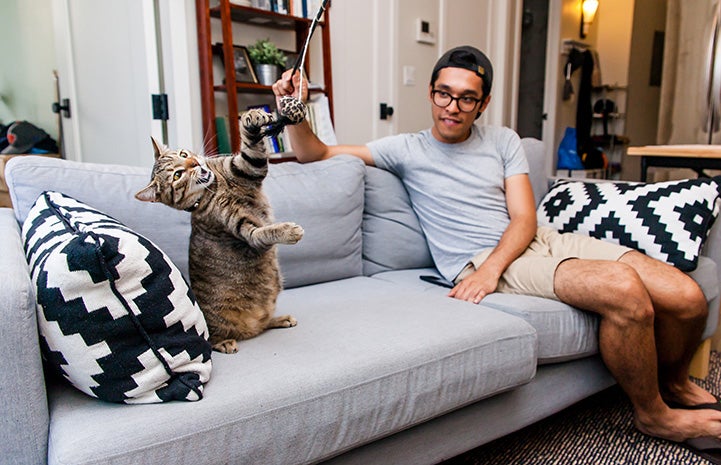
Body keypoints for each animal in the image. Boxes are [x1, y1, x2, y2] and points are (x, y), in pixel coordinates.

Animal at [135, 107, 304, 352]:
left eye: (183, 154)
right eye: (177, 175)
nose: (195, 163)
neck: (216, 185)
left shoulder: (247, 168)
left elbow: (252, 148)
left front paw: (252, 117)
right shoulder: (245, 229)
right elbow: (264, 232)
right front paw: (290, 231)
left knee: (262, 324)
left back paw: (279, 319)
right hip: (217, 325)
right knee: (214, 337)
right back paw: (225, 343)